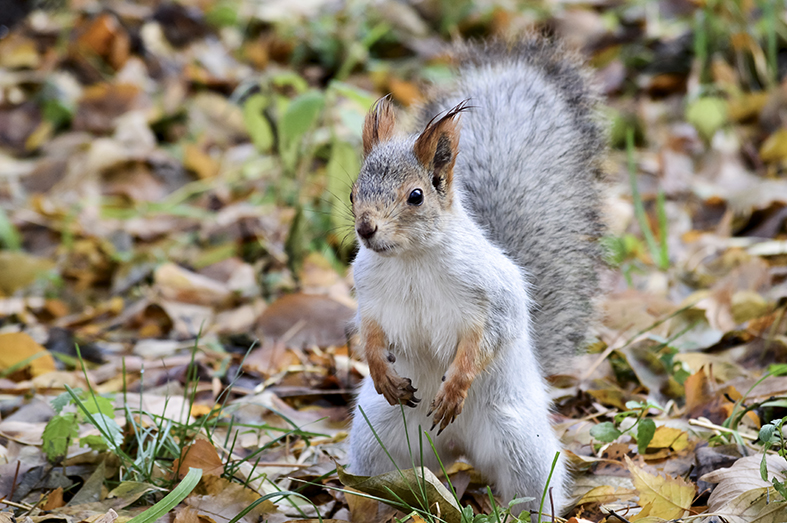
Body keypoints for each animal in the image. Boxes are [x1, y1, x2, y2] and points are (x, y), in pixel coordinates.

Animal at [348, 36, 608, 520]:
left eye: (416, 196)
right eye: (354, 192)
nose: (366, 228)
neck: (411, 260)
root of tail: (455, 448)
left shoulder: (493, 295)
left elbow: (489, 336)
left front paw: (456, 385)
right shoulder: (369, 294)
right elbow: (369, 333)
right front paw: (379, 368)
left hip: (520, 443)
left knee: (533, 487)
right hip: (377, 439)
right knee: (377, 480)